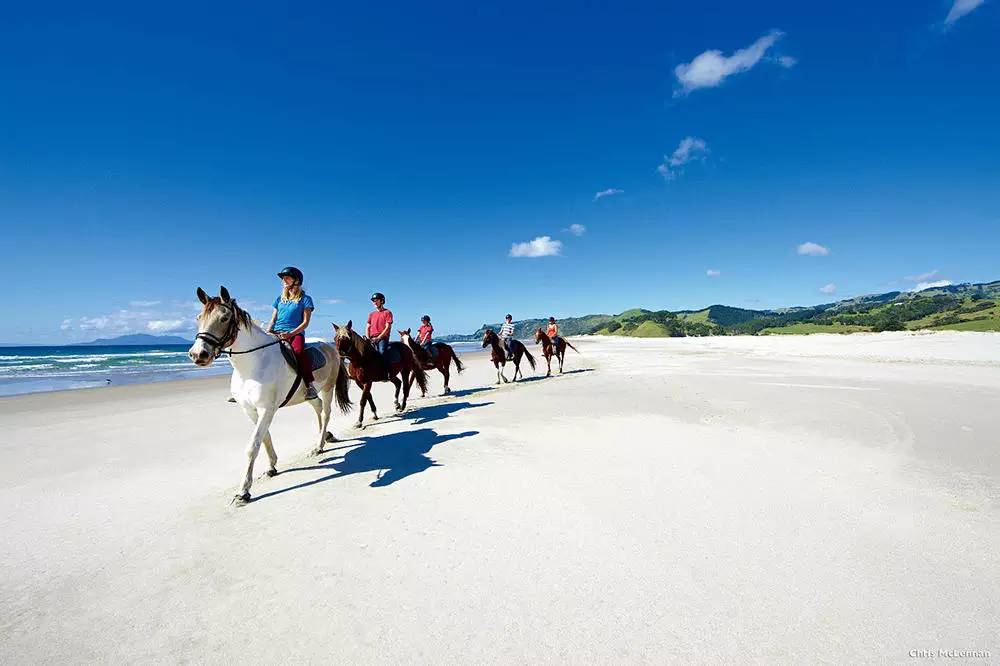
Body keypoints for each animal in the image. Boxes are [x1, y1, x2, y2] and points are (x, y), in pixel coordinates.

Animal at [188, 286, 352, 504]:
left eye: (224, 318)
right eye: (199, 317)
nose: (198, 354)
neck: (252, 365)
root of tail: (330, 346)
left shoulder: (266, 409)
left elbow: (253, 445)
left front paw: (243, 491)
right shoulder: (250, 410)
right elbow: (264, 437)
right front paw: (271, 466)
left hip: (327, 388)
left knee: (325, 413)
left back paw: (319, 445)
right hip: (309, 394)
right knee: (317, 407)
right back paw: (324, 437)